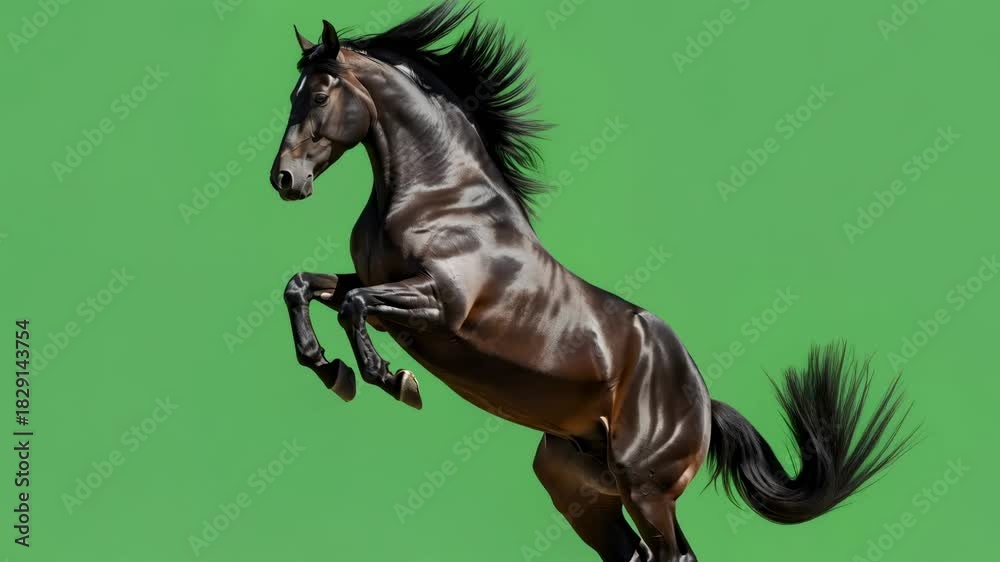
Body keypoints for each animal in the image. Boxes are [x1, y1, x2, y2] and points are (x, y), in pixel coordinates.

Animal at [269, 4, 915, 561]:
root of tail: (704, 402)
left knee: (672, 554)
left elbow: (353, 305)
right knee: (633, 553)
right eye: (293, 94)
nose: (284, 179)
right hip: (578, 485)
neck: (439, 197)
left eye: (320, 94)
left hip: (646, 488)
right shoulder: (376, 281)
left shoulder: (440, 305)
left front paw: (391, 379)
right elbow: (303, 286)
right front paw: (330, 370)